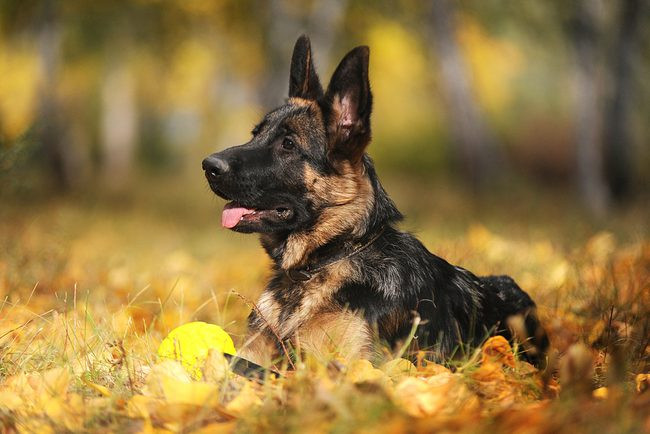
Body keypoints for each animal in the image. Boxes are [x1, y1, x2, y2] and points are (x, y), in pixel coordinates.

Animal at [202, 34, 548, 370]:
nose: (208, 165)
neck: (330, 256)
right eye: (255, 134)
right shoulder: (257, 350)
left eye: (288, 144)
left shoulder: (347, 367)